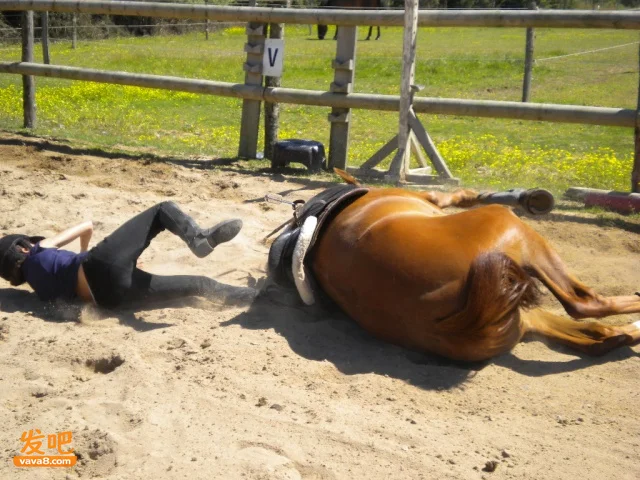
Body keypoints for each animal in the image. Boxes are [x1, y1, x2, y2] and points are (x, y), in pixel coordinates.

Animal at [267, 170, 640, 363]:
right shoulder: (434, 200)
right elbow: (453, 195)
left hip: (519, 317)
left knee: (593, 337)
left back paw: (620, 334)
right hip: (516, 233)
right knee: (583, 304)